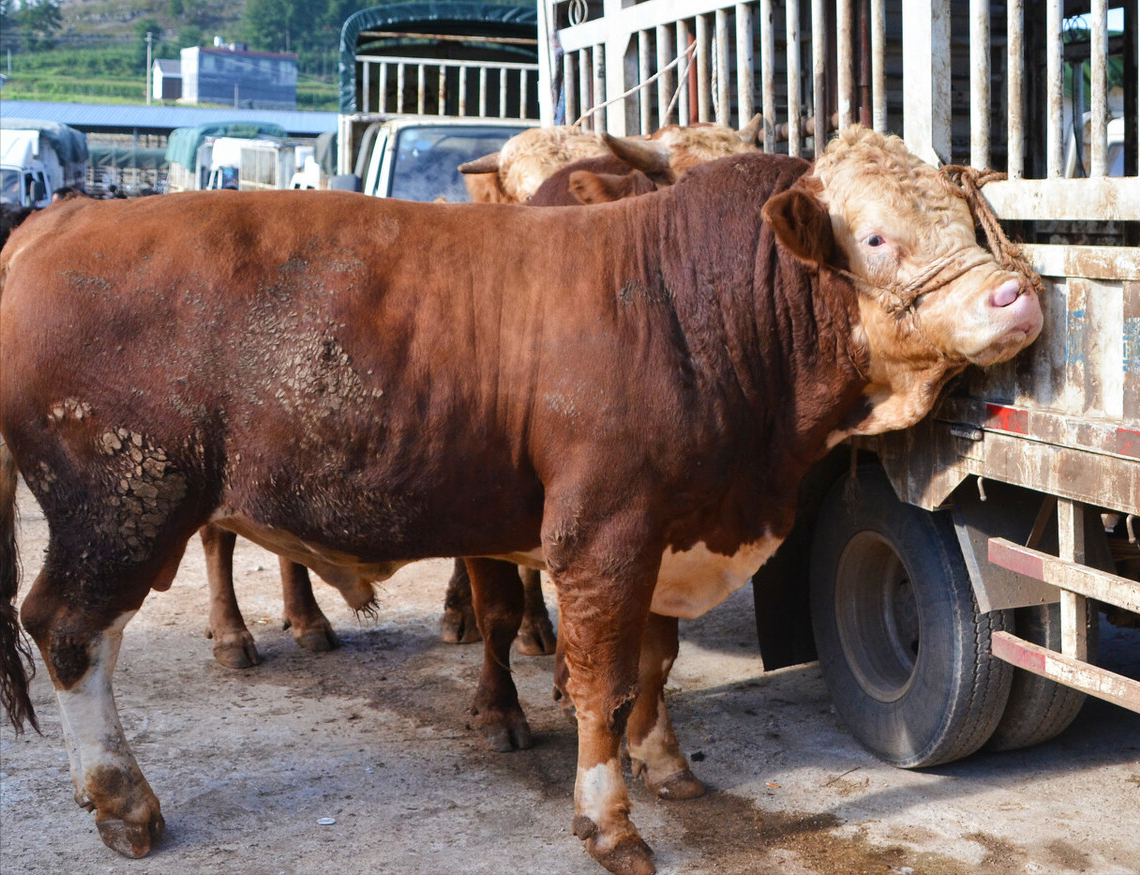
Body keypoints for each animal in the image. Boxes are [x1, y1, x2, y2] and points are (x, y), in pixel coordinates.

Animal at [0, 128, 1044, 875]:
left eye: (964, 214)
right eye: (875, 236)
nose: (1016, 296)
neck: (687, 301)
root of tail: (63, 221)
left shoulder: (670, 527)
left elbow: (654, 662)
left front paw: (665, 761)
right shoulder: (601, 531)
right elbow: (599, 678)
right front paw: (611, 820)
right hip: (122, 503)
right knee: (69, 630)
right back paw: (125, 797)